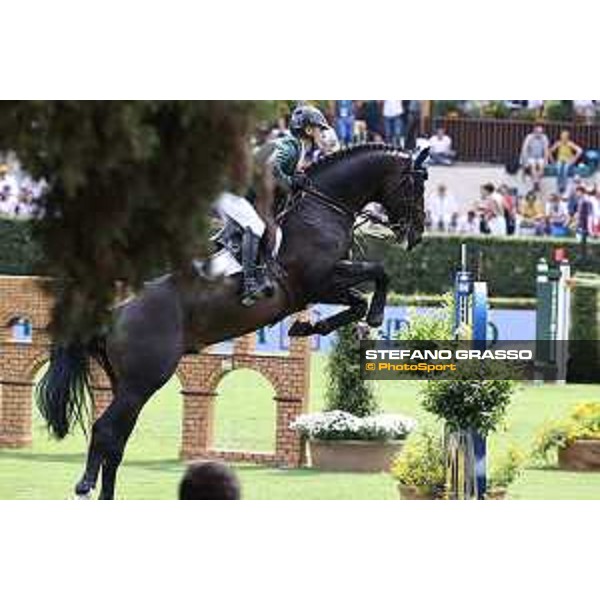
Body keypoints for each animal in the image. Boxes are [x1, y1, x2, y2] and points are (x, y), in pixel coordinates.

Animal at [35, 143, 428, 500]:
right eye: (417, 184)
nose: (417, 236)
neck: (323, 207)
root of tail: (115, 314)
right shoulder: (317, 281)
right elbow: (378, 274)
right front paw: (373, 316)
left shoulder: (325, 283)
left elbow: (360, 297)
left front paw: (309, 327)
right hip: (142, 382)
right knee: (106, 431)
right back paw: (85, 487)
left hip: (127, 383)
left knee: (116, 439)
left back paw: (106, 495)